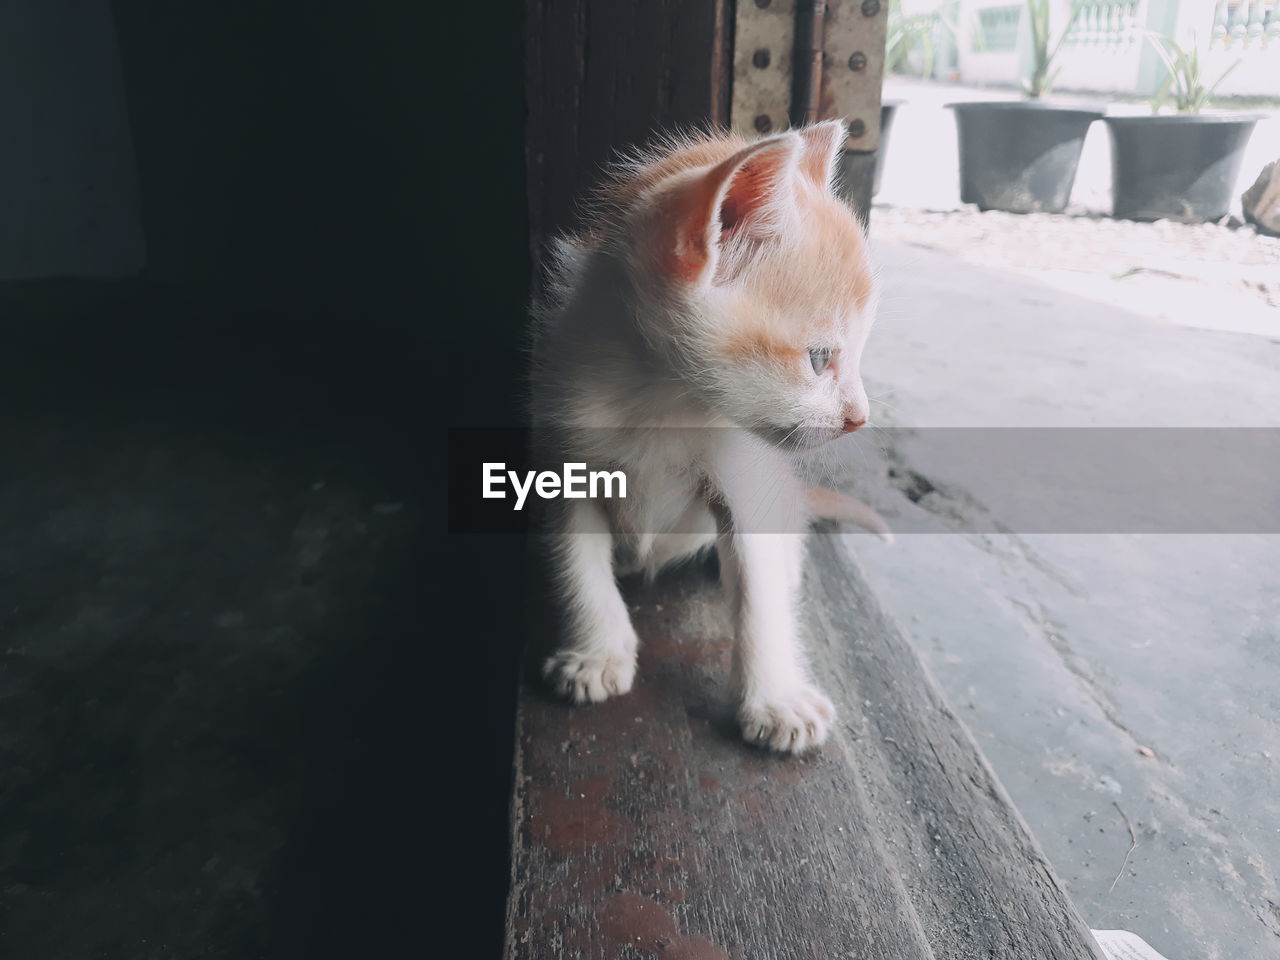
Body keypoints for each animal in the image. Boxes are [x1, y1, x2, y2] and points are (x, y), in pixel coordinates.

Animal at [527, 120, 880, 757]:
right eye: (820, 359)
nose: (859, 418)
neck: (661, 399)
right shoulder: (563, 457)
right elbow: (576, 561)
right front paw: (596, 652)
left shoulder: (746, 481)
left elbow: (759, 593)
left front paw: (774, 700)